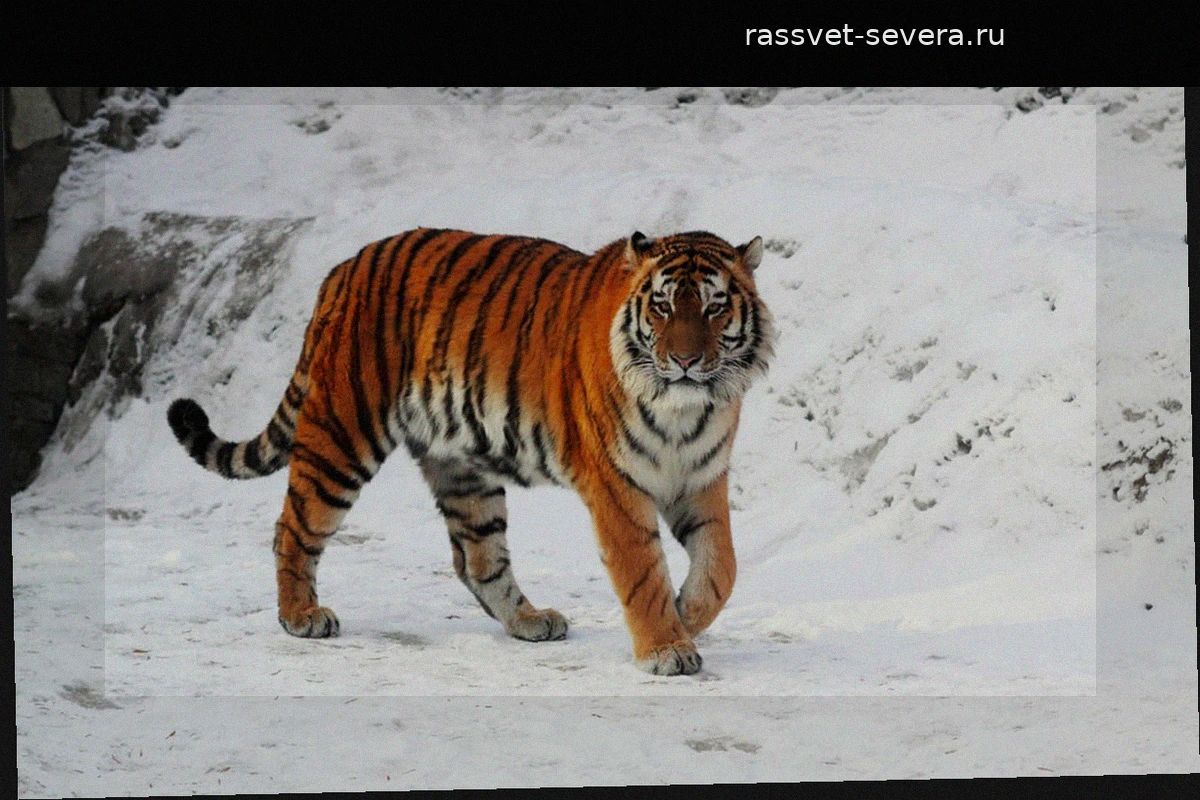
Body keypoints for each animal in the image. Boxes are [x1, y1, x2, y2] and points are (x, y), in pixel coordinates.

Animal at [167, 227, 776, 675]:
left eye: (715, 308)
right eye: (664, 308)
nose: (686, 361)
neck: (686, 409)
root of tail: (344, 268)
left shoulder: (700, 477)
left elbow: (722, 567)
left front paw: (685, 615)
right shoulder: (617, 486)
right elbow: (642, 570)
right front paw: (665, 647)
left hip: (462, 466)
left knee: (477, 559)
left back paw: (530, 622)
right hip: (341, 434)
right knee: (293, 525)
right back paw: (301, 616)